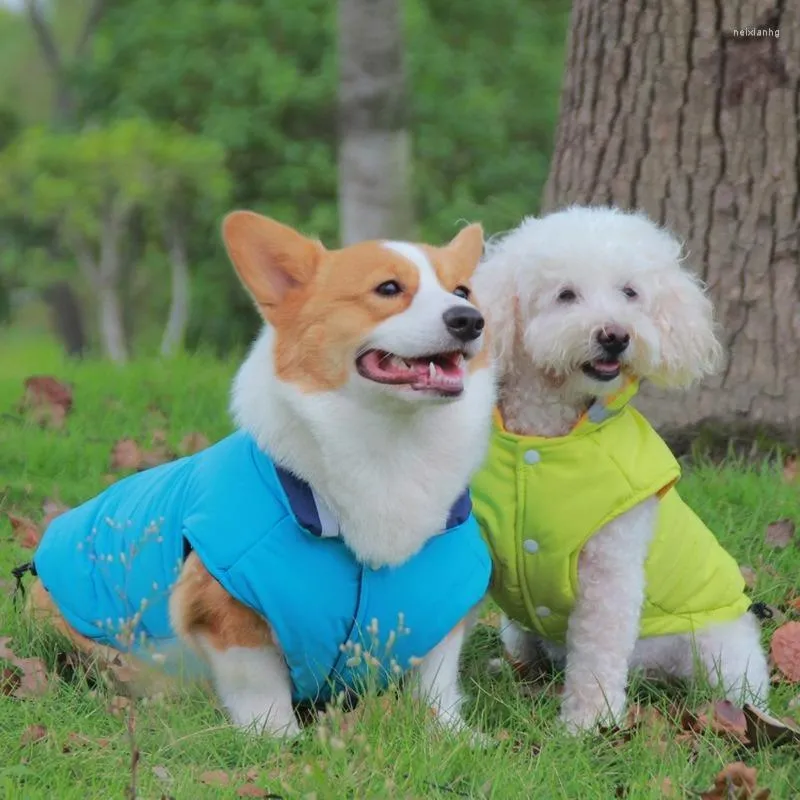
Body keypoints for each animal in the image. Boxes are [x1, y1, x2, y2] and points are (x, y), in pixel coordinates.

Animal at [25, 212, 496, 736]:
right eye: (389, 288)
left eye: (463, 290)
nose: (468, 320)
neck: (393, 444)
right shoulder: (226, 608)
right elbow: (258, 683)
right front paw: (277, 737)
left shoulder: (446, 602)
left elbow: (437, 680)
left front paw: (454, 734)